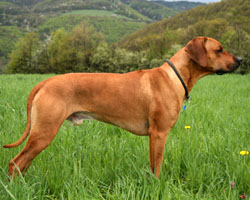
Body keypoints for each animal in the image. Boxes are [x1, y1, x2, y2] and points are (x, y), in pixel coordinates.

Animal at [3, 37, 242, 178]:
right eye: (219, 49)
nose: (240, 59)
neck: (175, 76)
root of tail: (45, 82)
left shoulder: (153, 137)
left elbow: (151, 164)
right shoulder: (159, 133)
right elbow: (157, 168)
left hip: (40, 135)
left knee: (22, 164)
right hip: (44, 132)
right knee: (15, 163)